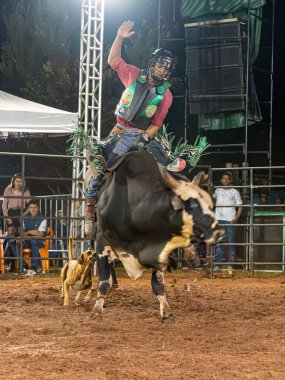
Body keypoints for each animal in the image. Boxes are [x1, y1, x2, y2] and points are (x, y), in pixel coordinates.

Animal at [92, 150, 223, 320]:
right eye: (191, 203)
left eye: (210, 205)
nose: (219, 233)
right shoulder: (102, 242)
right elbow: (103, 281)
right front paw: (97, 310)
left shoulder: (159, 246)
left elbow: (158, 283)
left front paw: (166, 310)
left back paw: (191, 255)